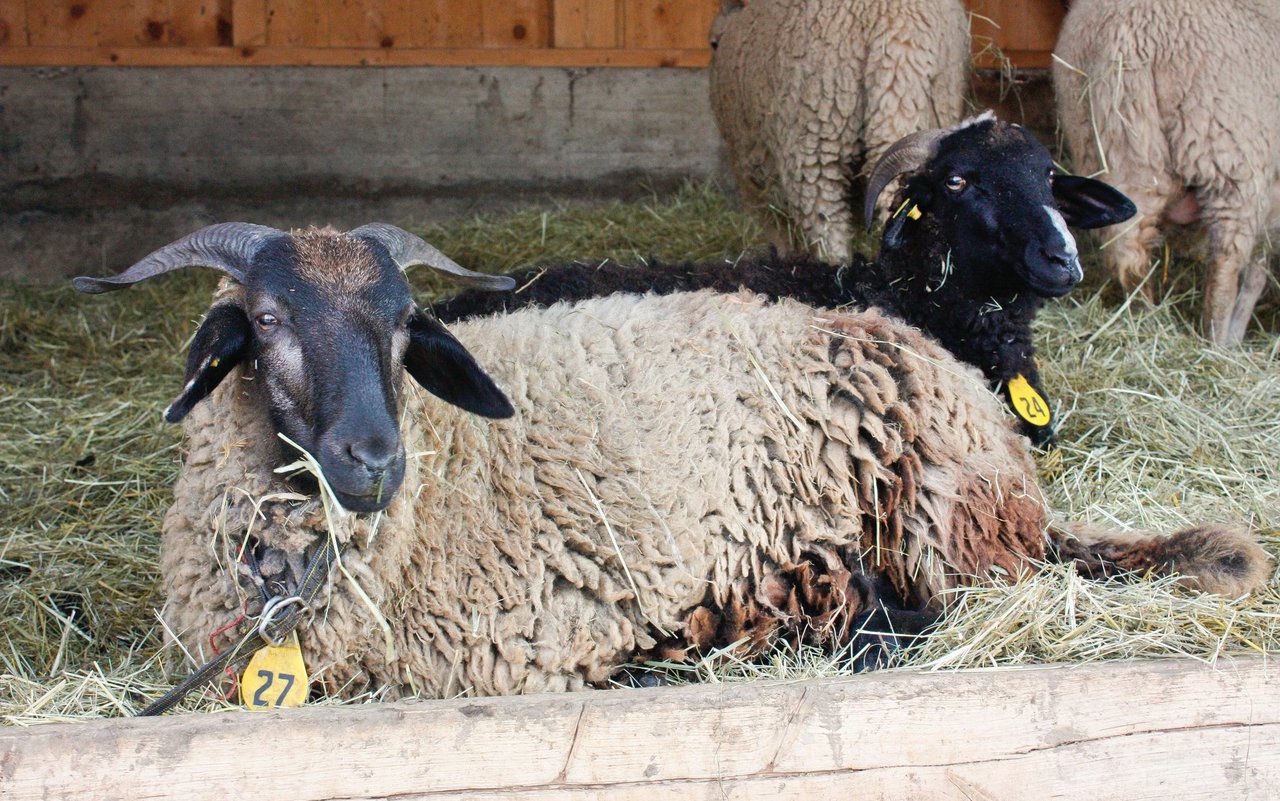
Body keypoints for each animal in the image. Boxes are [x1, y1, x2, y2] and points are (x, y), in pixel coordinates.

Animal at [711, 0, 967, 258]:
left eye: (713, 43)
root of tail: (896, 26)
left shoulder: (752, 179)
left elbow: (780, 233)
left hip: (814, 133)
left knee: (827, 221)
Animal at [1049, 0, 1280, 345]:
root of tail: (1126, 36)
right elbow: (1257, 271)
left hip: (1115, 151)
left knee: (1128, 253)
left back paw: (1144, 319)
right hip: (1230, 154)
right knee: (1225, 262)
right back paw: (1218, 343)